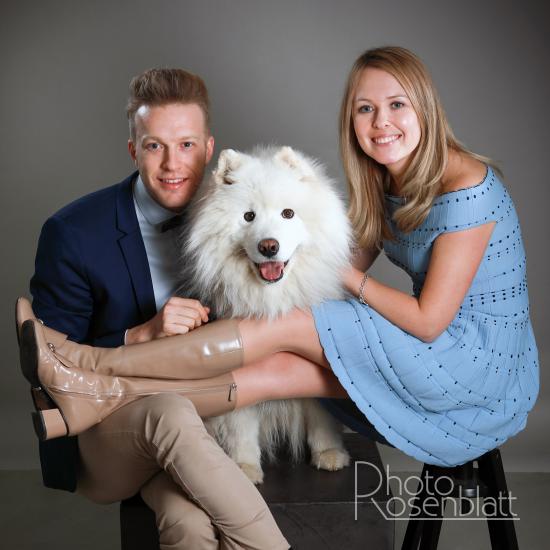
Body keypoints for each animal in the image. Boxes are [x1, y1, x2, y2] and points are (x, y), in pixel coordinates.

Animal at [181, 146, 354, 484]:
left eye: (288, 213)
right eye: (249, 216)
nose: (269, 246)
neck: (273, 301)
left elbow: (322, 418)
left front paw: (328, 454)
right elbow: (240, 425)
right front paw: (244, 467)